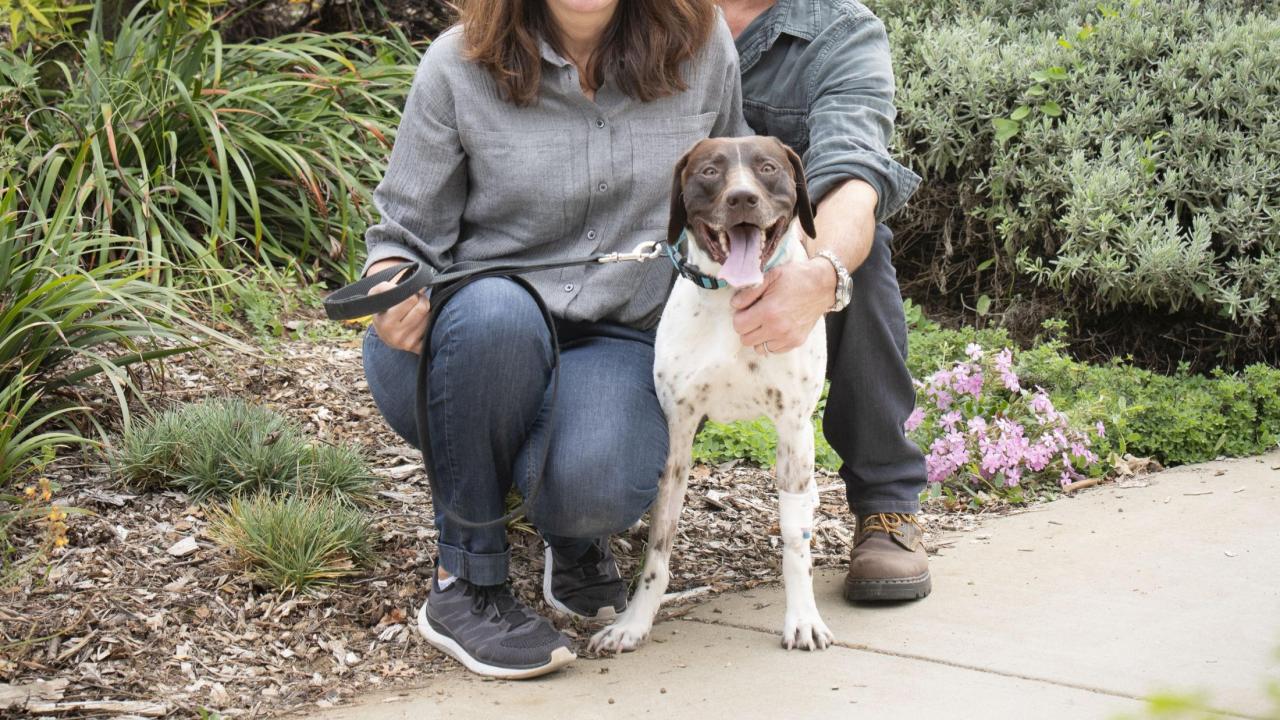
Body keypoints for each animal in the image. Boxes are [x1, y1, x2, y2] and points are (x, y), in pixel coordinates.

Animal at [586, 137, 834, 653]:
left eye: (767, 168)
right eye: (709, 171)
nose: (742, 199)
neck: (731, 299)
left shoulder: (792, 428)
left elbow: (794, 542)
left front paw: (803, 617)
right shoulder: (678, 436)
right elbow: (659, 550)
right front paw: (634, 622)